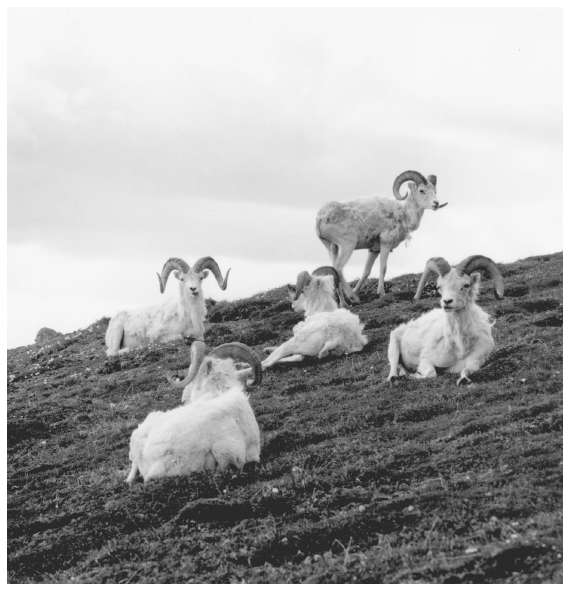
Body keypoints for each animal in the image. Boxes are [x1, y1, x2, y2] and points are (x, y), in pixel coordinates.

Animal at [316, 170, 444, 300]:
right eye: (421, 190)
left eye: (435, 191)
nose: (436, 203)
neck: (403, 215)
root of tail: (322, 217)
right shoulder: (385, 243)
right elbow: (383, 268)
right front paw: (381, 293)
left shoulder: (374, 250)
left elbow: (366, 271)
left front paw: (357, 290)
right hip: (347, 246)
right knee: (338, 269)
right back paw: (353, 298)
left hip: (332, 248)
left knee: (334, 270)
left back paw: (344, 302)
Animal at [386, 256, 502, 388]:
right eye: (439, 286)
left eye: (466, 285)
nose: (447, 301)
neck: (460, 347)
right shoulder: (426, 361)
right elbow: (431, 373)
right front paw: (414, 375)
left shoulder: (476, 359)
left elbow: (468, 369)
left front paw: (463, 380)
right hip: (393, 349)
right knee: (392, 372)